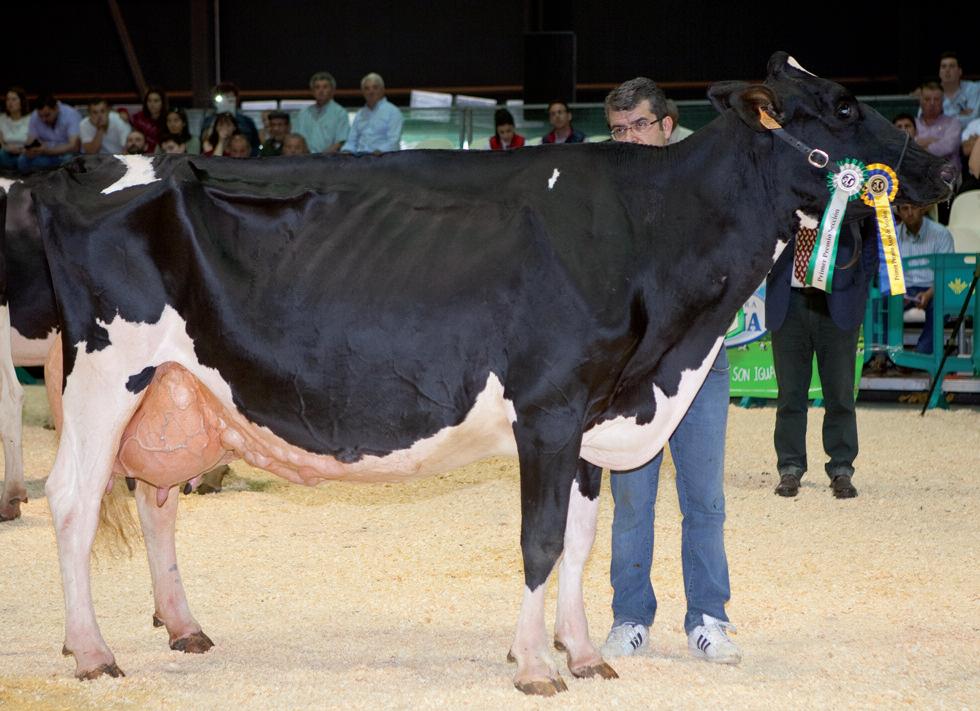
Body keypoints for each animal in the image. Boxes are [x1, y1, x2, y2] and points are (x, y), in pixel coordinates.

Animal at [22, 53, 951, 694]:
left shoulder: (592, 410)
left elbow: (579, 538)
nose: (943, 170)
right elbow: (540, 539)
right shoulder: (550, 405)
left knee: (155, 496)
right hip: (108, 373)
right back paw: (93, 649)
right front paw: (537, 664)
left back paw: (178, 626)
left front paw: (584, 653)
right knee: (71, 497)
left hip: (171, 389)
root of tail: (87, 168)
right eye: (842, 106)